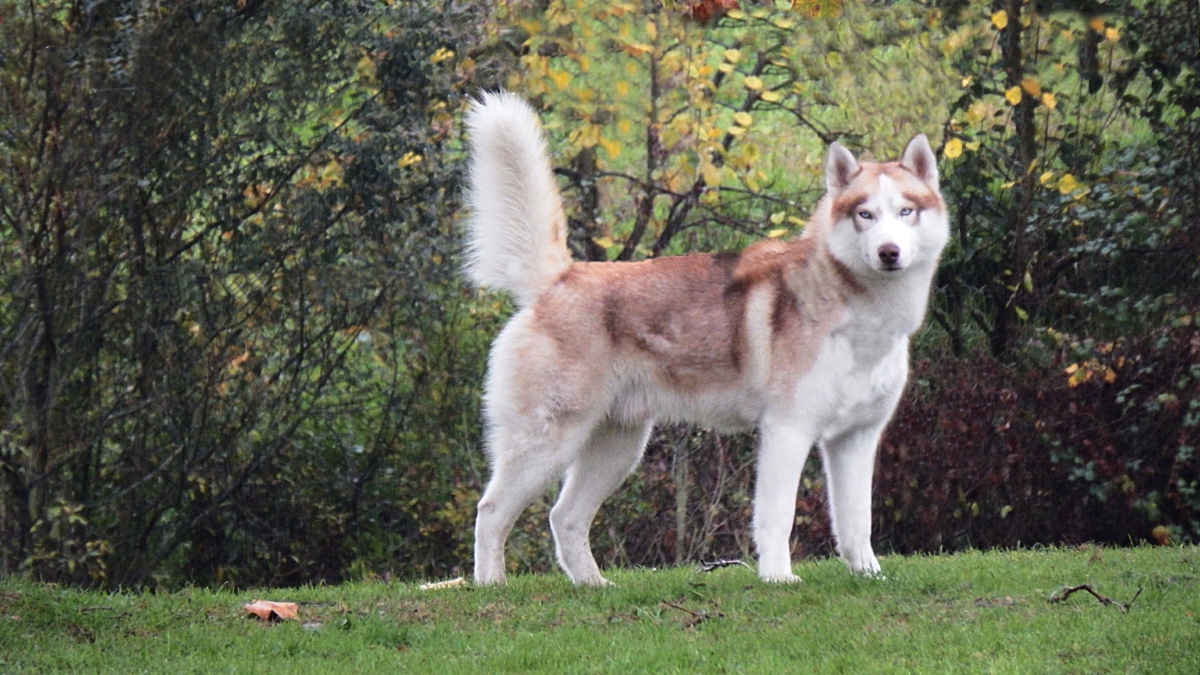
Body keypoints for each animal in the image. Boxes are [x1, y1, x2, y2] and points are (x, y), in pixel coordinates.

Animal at [458, 90, 945, 583]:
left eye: (906, 211)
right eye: (865, 214)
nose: (889, 252)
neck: (862, 318)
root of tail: (559, 278)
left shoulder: (855, 439)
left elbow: (857, 521)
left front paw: (868, 575)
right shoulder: (788, 432)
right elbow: (778, 516)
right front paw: (777, 578)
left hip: (617, 448)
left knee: (565, 517)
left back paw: (594, 586)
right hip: (548, 441)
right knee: (491, 512)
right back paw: (492, 586)